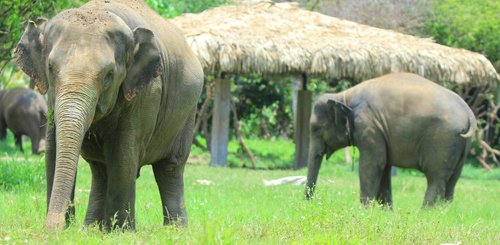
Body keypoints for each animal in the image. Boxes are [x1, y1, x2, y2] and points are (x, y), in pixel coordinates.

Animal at [15, 0, 203, 230]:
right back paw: (92, 228)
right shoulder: (51, 97)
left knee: (170, 168)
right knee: (100, 170)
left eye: (109, 75)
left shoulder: (147, 93)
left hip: (187, 113)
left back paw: (175, 230)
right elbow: (53, 149)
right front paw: (73, 229)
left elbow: (123, 154)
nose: (53, 228)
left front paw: (122, 232)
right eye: (51, 68)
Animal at [304, 72, 476, 207]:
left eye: (316, 129)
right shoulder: (380, 132)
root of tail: (469, 113)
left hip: (442, 140)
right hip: (461, 144)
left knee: (436, 178)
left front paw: (364, 211)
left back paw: (425, 213)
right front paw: (386, 212)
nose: (309, 203)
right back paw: (442, 212)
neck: (344, 96)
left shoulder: (369, 126)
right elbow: (384, 167)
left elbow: (372, 164)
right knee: (452, 181)